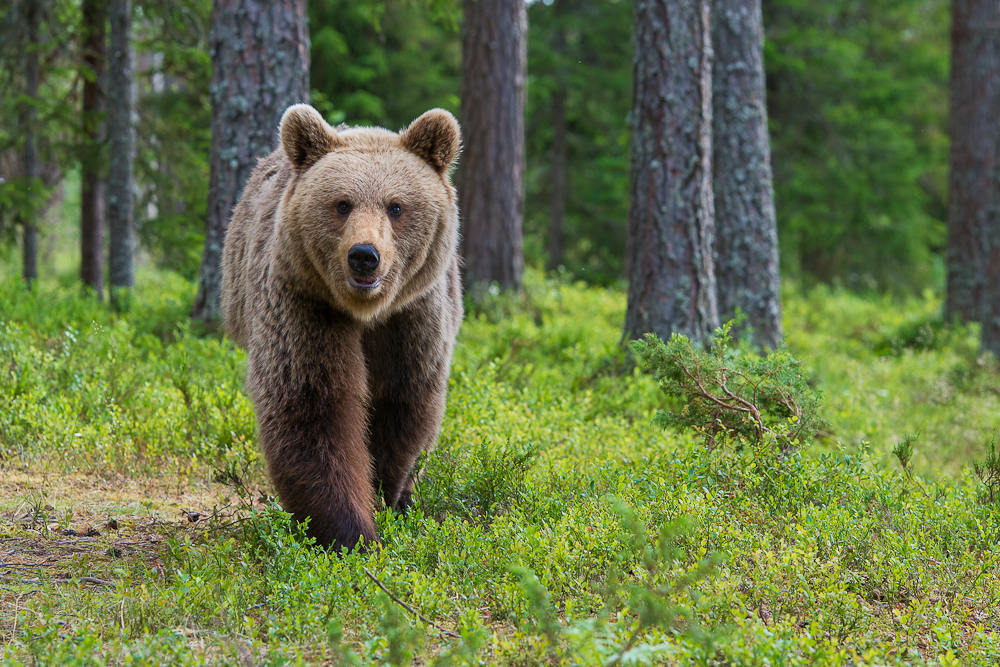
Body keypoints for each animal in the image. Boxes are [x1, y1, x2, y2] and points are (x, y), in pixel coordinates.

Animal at [221, 104, 462, 552]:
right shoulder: (305, 303)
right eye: (343, 204)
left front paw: (386, 496)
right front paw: (350, 533)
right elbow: (314, 406)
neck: (365, 312)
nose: (364, 255)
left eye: (396, 206)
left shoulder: (411, 317)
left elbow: (402, 403)